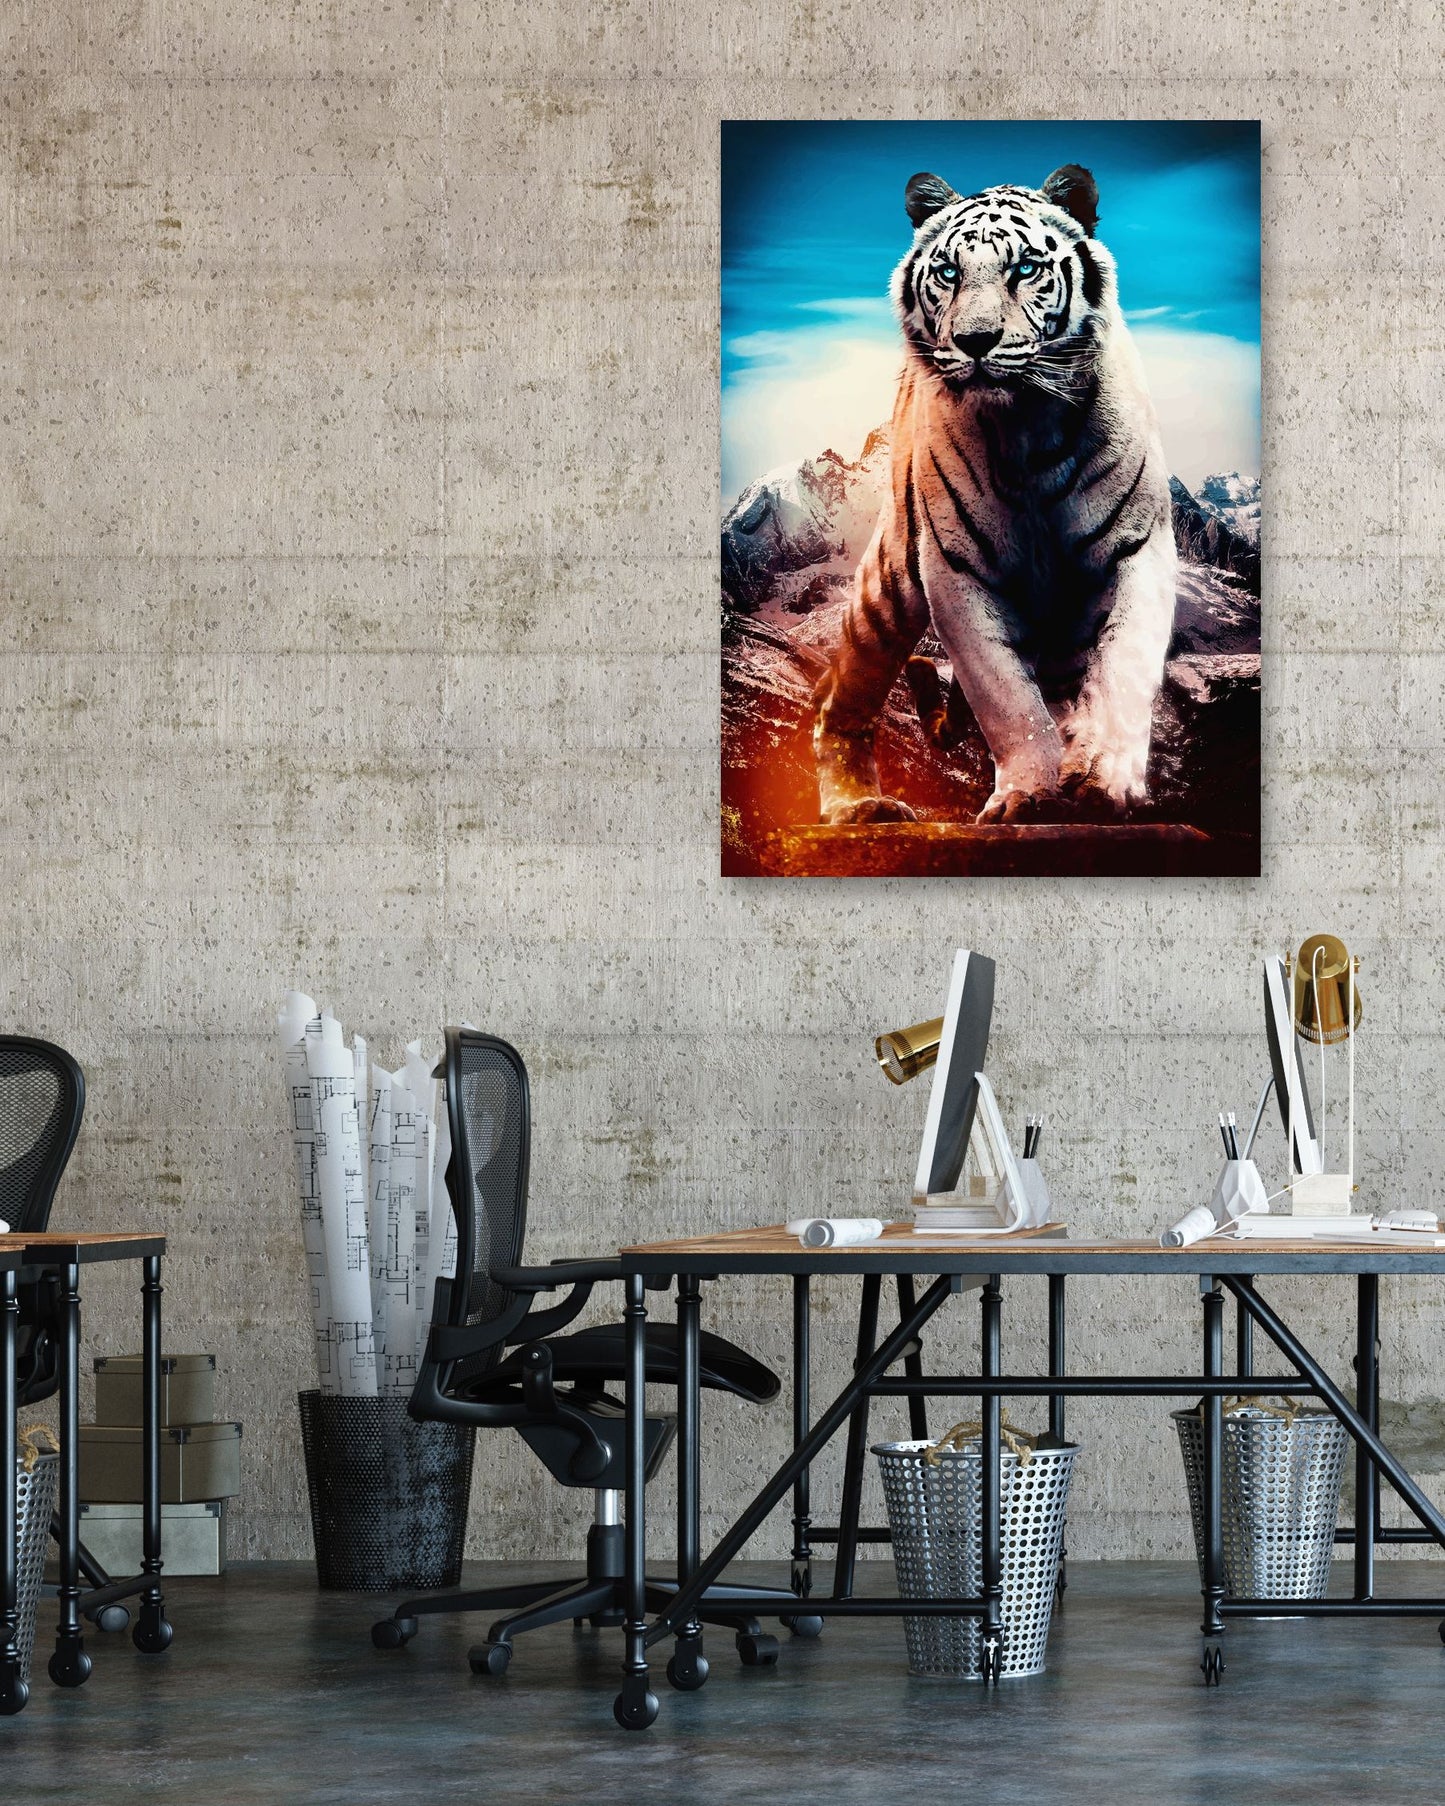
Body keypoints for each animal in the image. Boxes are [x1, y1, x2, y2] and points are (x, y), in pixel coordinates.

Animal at [813, 164, 1176, 827]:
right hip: (887, 586)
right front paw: (1028, 795)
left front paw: (1102, 782)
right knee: (838, 694)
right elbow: (1005, 697)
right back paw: (859, 805)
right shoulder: (956, 571)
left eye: (1025, 268)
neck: (1027, 430)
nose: (975, 341)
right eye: (949, 273)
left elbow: (1123, 670)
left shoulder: (1139, 550)